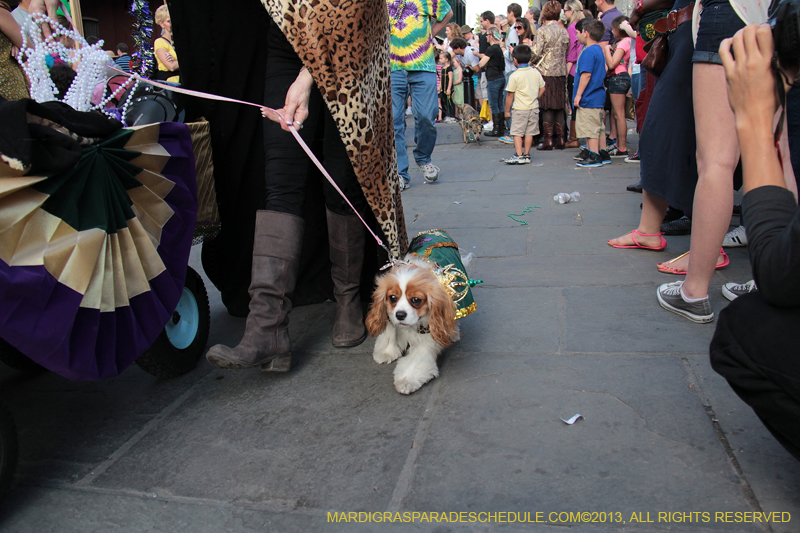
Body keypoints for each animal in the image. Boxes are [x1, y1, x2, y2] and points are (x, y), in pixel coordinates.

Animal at [366, 256, 460, 392]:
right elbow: (390, 335)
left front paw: (406, 381)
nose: (400, 315)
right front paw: (386, 352)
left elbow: (417, 360)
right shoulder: (390, 317)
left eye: (416, 300)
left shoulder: (428, 334)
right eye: (392, 297)